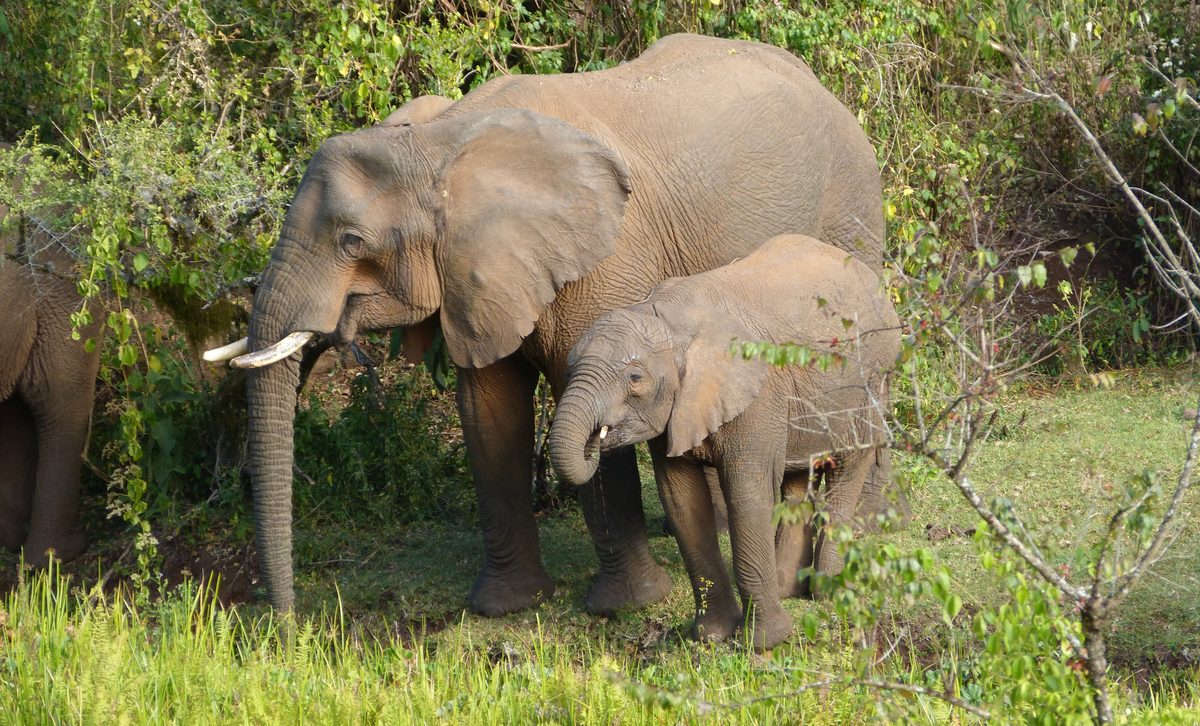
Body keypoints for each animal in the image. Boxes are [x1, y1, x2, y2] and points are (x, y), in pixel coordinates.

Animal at [547, 235, 901, 650]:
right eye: (570, 368)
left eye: (635, 378)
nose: (595, 439)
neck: (670, 319)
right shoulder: (678, 411)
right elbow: (682, 501)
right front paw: (711, 636)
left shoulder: (756, 395)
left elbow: (748, 495)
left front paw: (764, 643)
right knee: (796, 478)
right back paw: (788, 589)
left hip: (870, 379)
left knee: (846, 470)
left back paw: (828, 592)